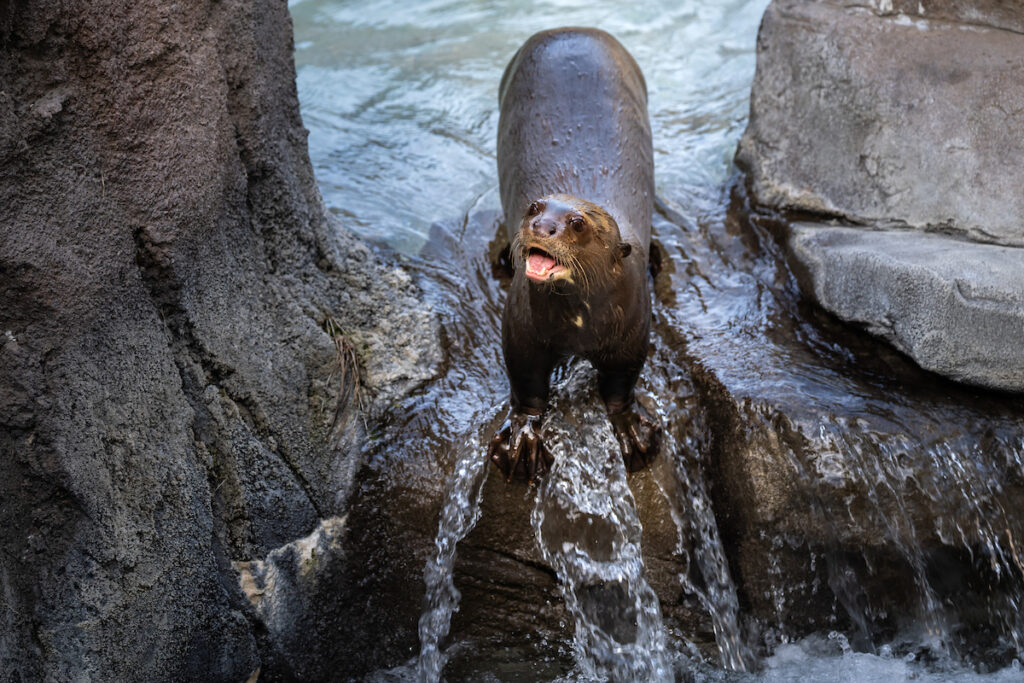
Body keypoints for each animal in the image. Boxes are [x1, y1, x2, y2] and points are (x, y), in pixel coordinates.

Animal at [489, 29, 663, 483]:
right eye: (534, 207)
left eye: (577, 223)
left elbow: (621, 385)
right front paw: (522, 441)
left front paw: (632, 431)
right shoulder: (521, 328)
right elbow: (527, 385)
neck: (579, 330)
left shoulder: (633, 331)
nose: (540, 227)